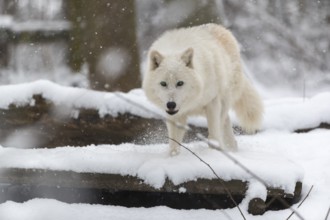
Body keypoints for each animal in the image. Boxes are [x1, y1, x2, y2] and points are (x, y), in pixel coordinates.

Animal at [142, 23, 262, 156]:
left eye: (180, 83)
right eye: (163, 83)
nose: (171, 104)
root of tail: (220, 27)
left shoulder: (212, 103)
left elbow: (213, 136)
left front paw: (213, 153)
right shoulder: (175, 115)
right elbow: (174, 143)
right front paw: (173, 157)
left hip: (224, 101)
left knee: (221, 123)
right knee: (227, 123)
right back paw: (232, 149)